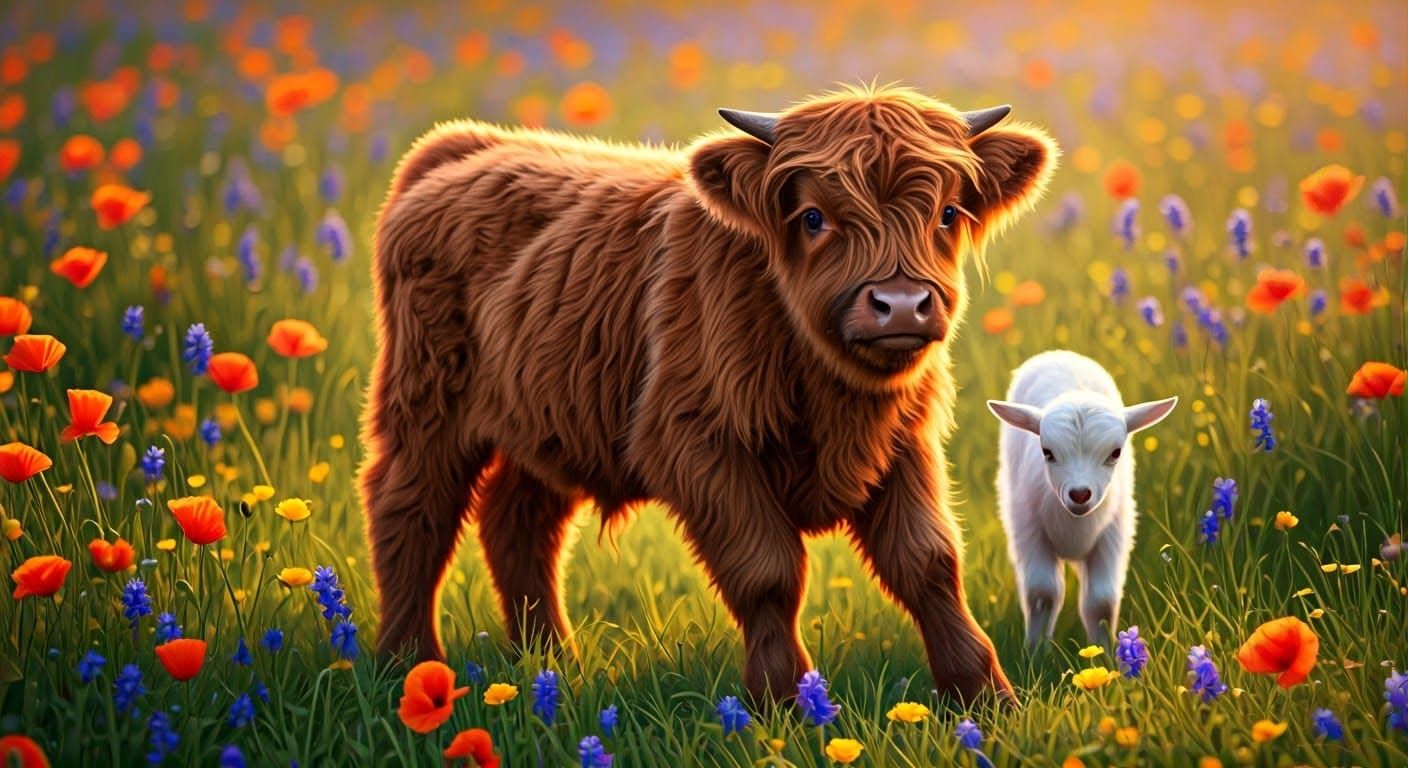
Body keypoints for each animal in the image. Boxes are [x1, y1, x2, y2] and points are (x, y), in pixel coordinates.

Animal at [359, 84, 1057, 705]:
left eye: (948, 213)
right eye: (813, 217)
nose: (902, 305)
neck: (830, 389)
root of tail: (462, 148)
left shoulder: (902, 444)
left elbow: (928, 563)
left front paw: (985, 698)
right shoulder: (699, 445)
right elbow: (768, 572)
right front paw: (785, 704)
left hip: (549, 422)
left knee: (517, 523)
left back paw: (550, 664)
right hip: (426, 403)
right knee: (410, 509)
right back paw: (408, 667)